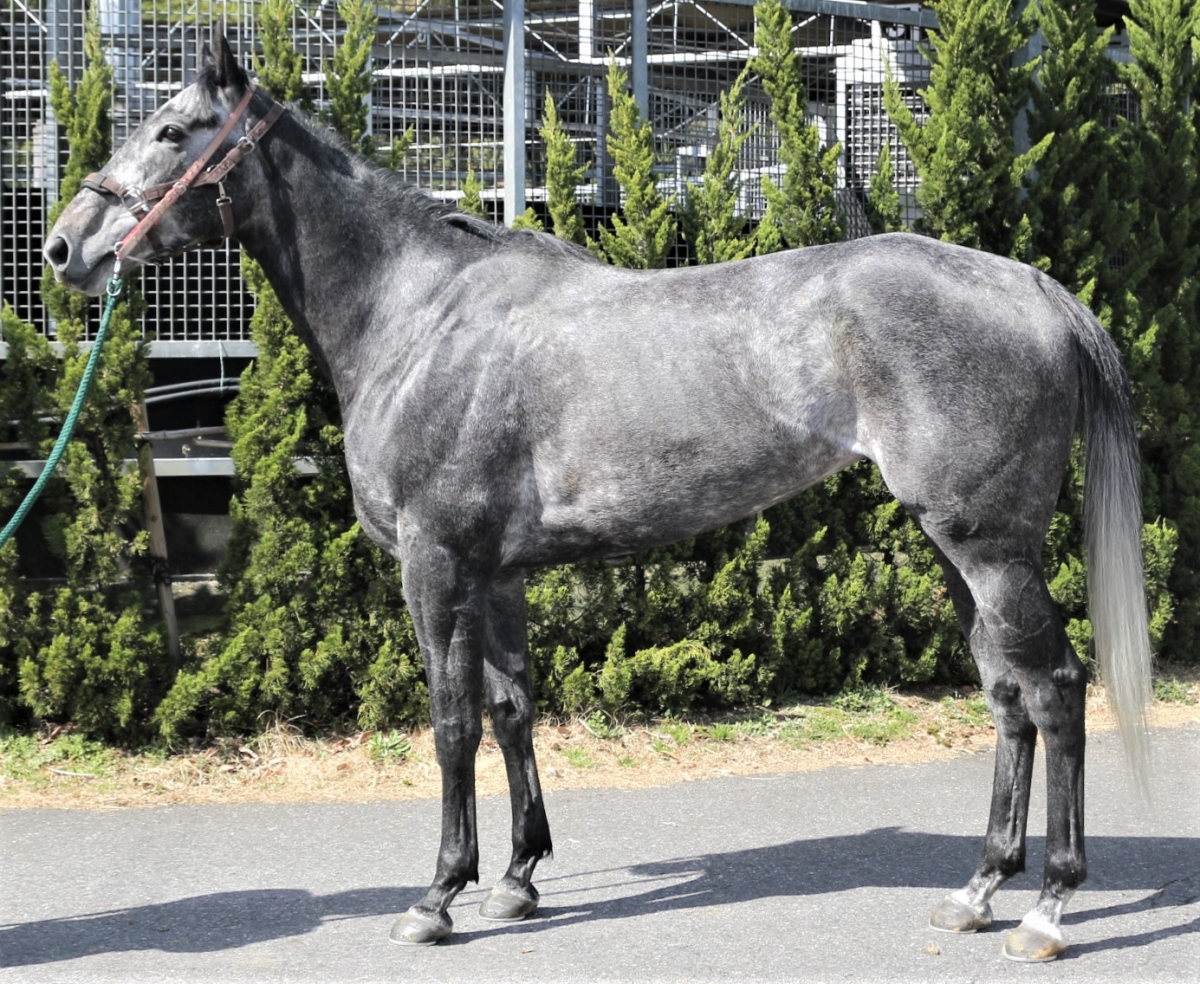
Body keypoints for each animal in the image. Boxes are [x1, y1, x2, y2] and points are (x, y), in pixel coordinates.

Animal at [43, 36, 1152, 962]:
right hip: (952, 548)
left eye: (173, 132)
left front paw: (439, 896)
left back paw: (1051, 907)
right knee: (1006, 695)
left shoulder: (435, 567)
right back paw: (980, 889)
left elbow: (450, 723)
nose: (64, 247)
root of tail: (1033, 288)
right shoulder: (495, 575)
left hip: (990, 547)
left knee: (1055, 689)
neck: (421, 316)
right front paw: (518, 879)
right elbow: (511, 708)